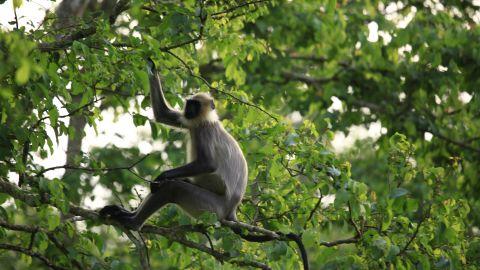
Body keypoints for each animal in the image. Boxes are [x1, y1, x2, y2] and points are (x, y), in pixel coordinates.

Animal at [97, 59, 248, 230]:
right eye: (189, 104)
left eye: (195, 105)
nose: (189, 110)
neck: (204, 120)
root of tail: (231, 210)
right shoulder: (191, 122)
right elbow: (162, 114)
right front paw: (151, 67)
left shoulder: (205, 131)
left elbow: (208, 164)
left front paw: (162, 176)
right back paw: (127, 214)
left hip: (211, 209)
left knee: (173, 188)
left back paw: (134, 222)